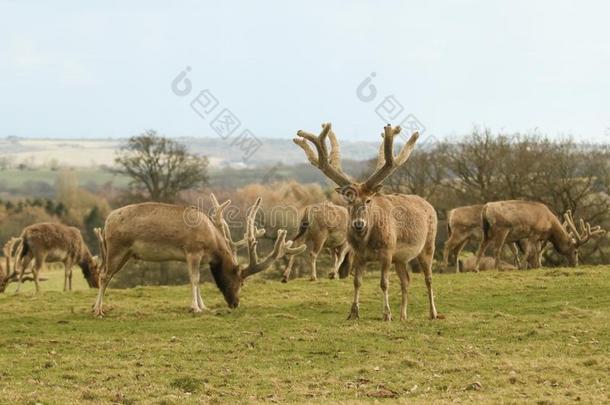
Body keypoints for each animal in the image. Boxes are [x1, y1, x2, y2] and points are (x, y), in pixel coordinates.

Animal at [91, 193, 306, 316]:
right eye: (242, 282)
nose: (235, 303)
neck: (211, 238)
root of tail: (107, 221)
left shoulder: (202, 259)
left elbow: (200, 281)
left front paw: (204, 307)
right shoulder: (192, 251)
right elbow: (194, 279)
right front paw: (194, 307)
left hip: (126, 253)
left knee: (104, 274)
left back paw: (96, 307)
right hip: (117, 248)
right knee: (103, 275)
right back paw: (98, 310)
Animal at [294, 121, 436, 320]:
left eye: (368, 200)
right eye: (349, 200)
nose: (359, 224)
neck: (367, 241)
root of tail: (429, 205)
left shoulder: (387, 251)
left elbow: (384, 283)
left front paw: (386, 314)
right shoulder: (359, 255)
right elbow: (357, 281)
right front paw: (353, 312)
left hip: (428, 244)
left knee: (428, 278)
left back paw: (433, 313)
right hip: (401, 258)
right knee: (406, 281)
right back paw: (403, 316)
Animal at [472, 200, 600, 272]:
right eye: (575, 251)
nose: (575, 264)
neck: (549, 225)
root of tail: (485, 208)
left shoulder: (539, 237)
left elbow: (538, 251)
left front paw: (538, 266)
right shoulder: (534, 233)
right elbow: (529, 251)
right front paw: (524, 266)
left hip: (487, 231)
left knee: (481, 246)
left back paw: (476, 268)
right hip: (502, 228)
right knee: (496, 249)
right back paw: (497, 268)